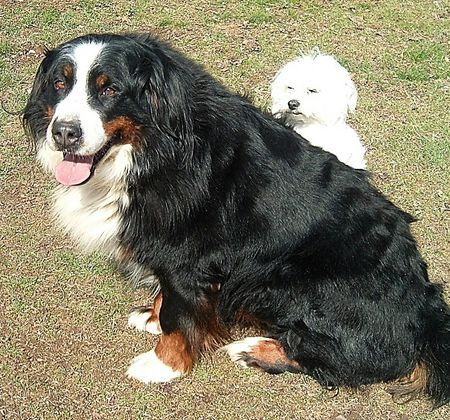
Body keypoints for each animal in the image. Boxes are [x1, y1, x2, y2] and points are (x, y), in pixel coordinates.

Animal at [22, 33, 448, 406]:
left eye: (109, 89)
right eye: (60, 84)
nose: (64, 133)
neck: (154, 150)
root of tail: (424, 311)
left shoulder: (187, 256)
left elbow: (180, 315)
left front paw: (163, 364)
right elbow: (170, 299)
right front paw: (153, 315)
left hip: (292, 278)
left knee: (346, 360)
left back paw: (254, 348)